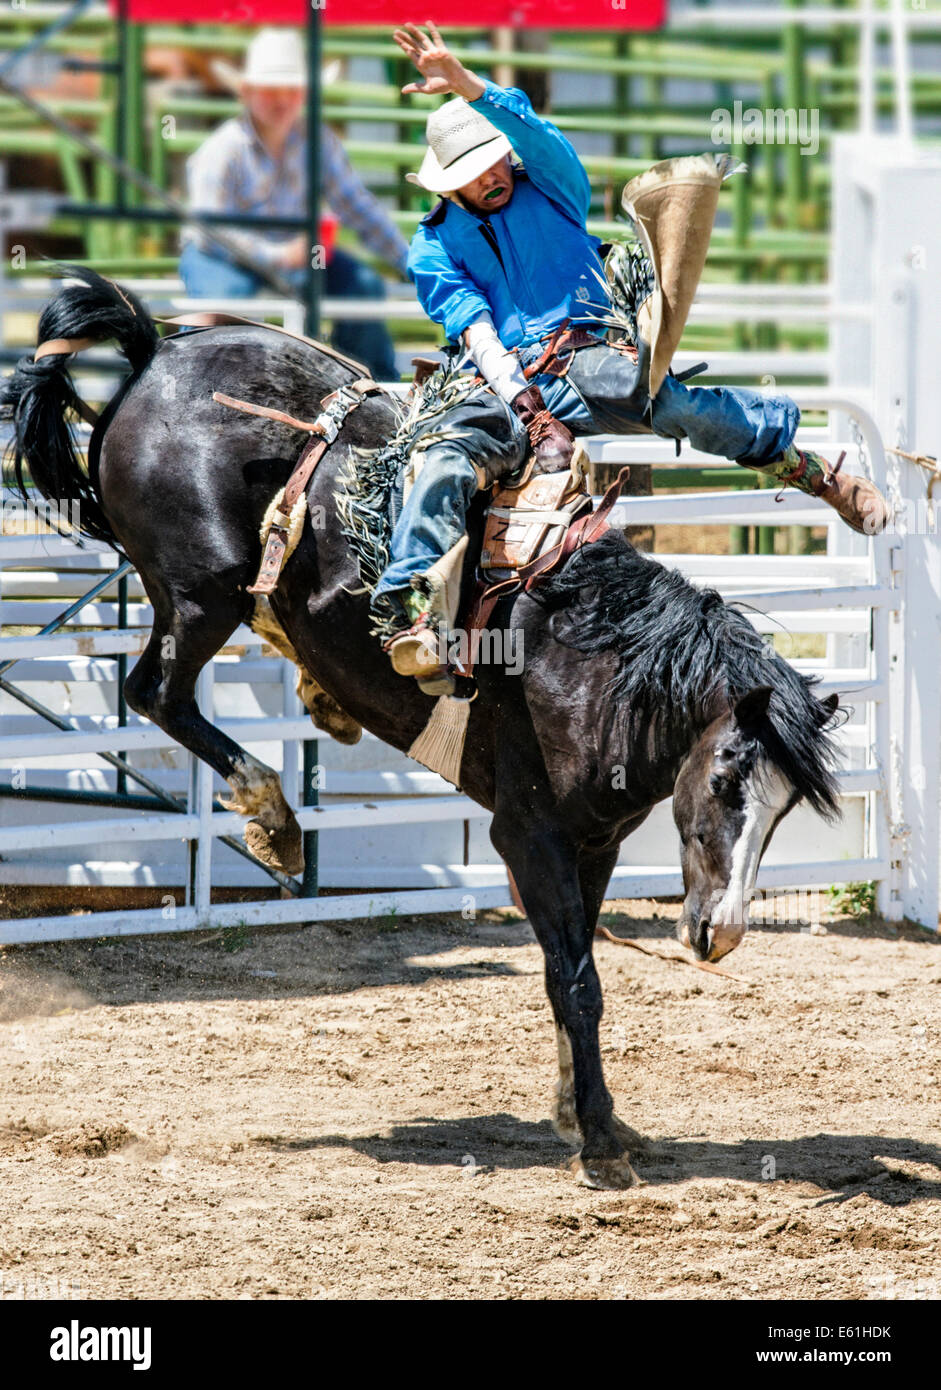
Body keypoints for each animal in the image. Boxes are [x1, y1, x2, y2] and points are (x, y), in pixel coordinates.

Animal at [0, 273, 839, 1195]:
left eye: (784, 810)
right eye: (724, 780)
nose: (720, 934)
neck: (594, 658)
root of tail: (156, 351)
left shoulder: (594, 845)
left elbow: (570, 968)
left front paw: (587, 1115)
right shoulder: (529, 835)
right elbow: (576, 982)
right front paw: (598, 1144)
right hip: (199, 592)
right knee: (155, 690)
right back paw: (276, 818)